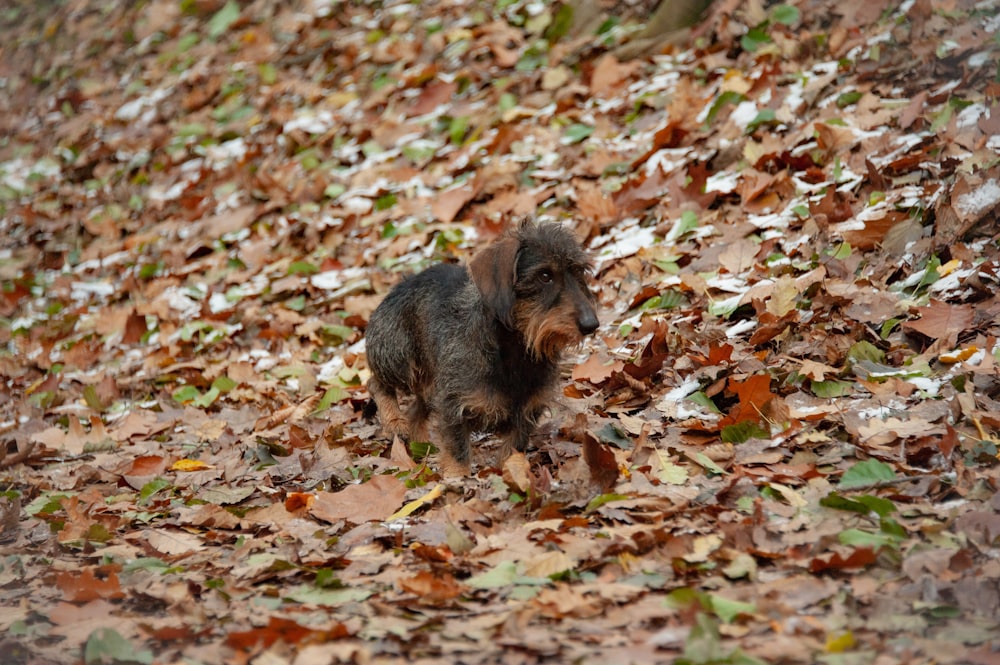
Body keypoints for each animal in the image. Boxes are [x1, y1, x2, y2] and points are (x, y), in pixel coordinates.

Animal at [368, 223, 600, 478]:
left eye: (579, 272)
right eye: (545, 275)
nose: (591, 324)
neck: (514, 353)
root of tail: (403, 282)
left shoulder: (525, 416)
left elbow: (512, 451)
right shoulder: (453, 405)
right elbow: (457, 451)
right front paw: (455, 476)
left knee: (415, 411)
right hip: (398, 360)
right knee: (376, 384)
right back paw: (395, 422)